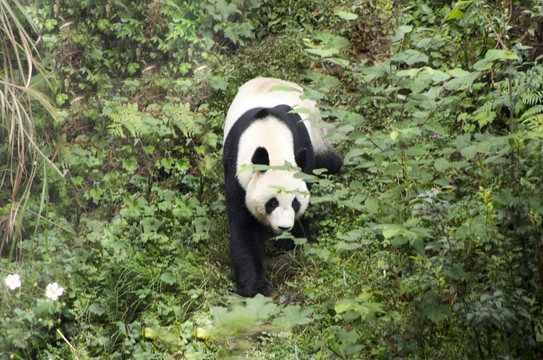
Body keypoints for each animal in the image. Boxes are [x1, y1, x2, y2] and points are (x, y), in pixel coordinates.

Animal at [222, 77, 342, 296]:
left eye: (295, 203)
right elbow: (244, 228)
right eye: (272, 203)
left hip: (315, 125)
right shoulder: (236, 172)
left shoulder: (302, 151)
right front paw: (256, 286)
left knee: (329, 162)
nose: (284, 227)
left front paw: (291, 240)